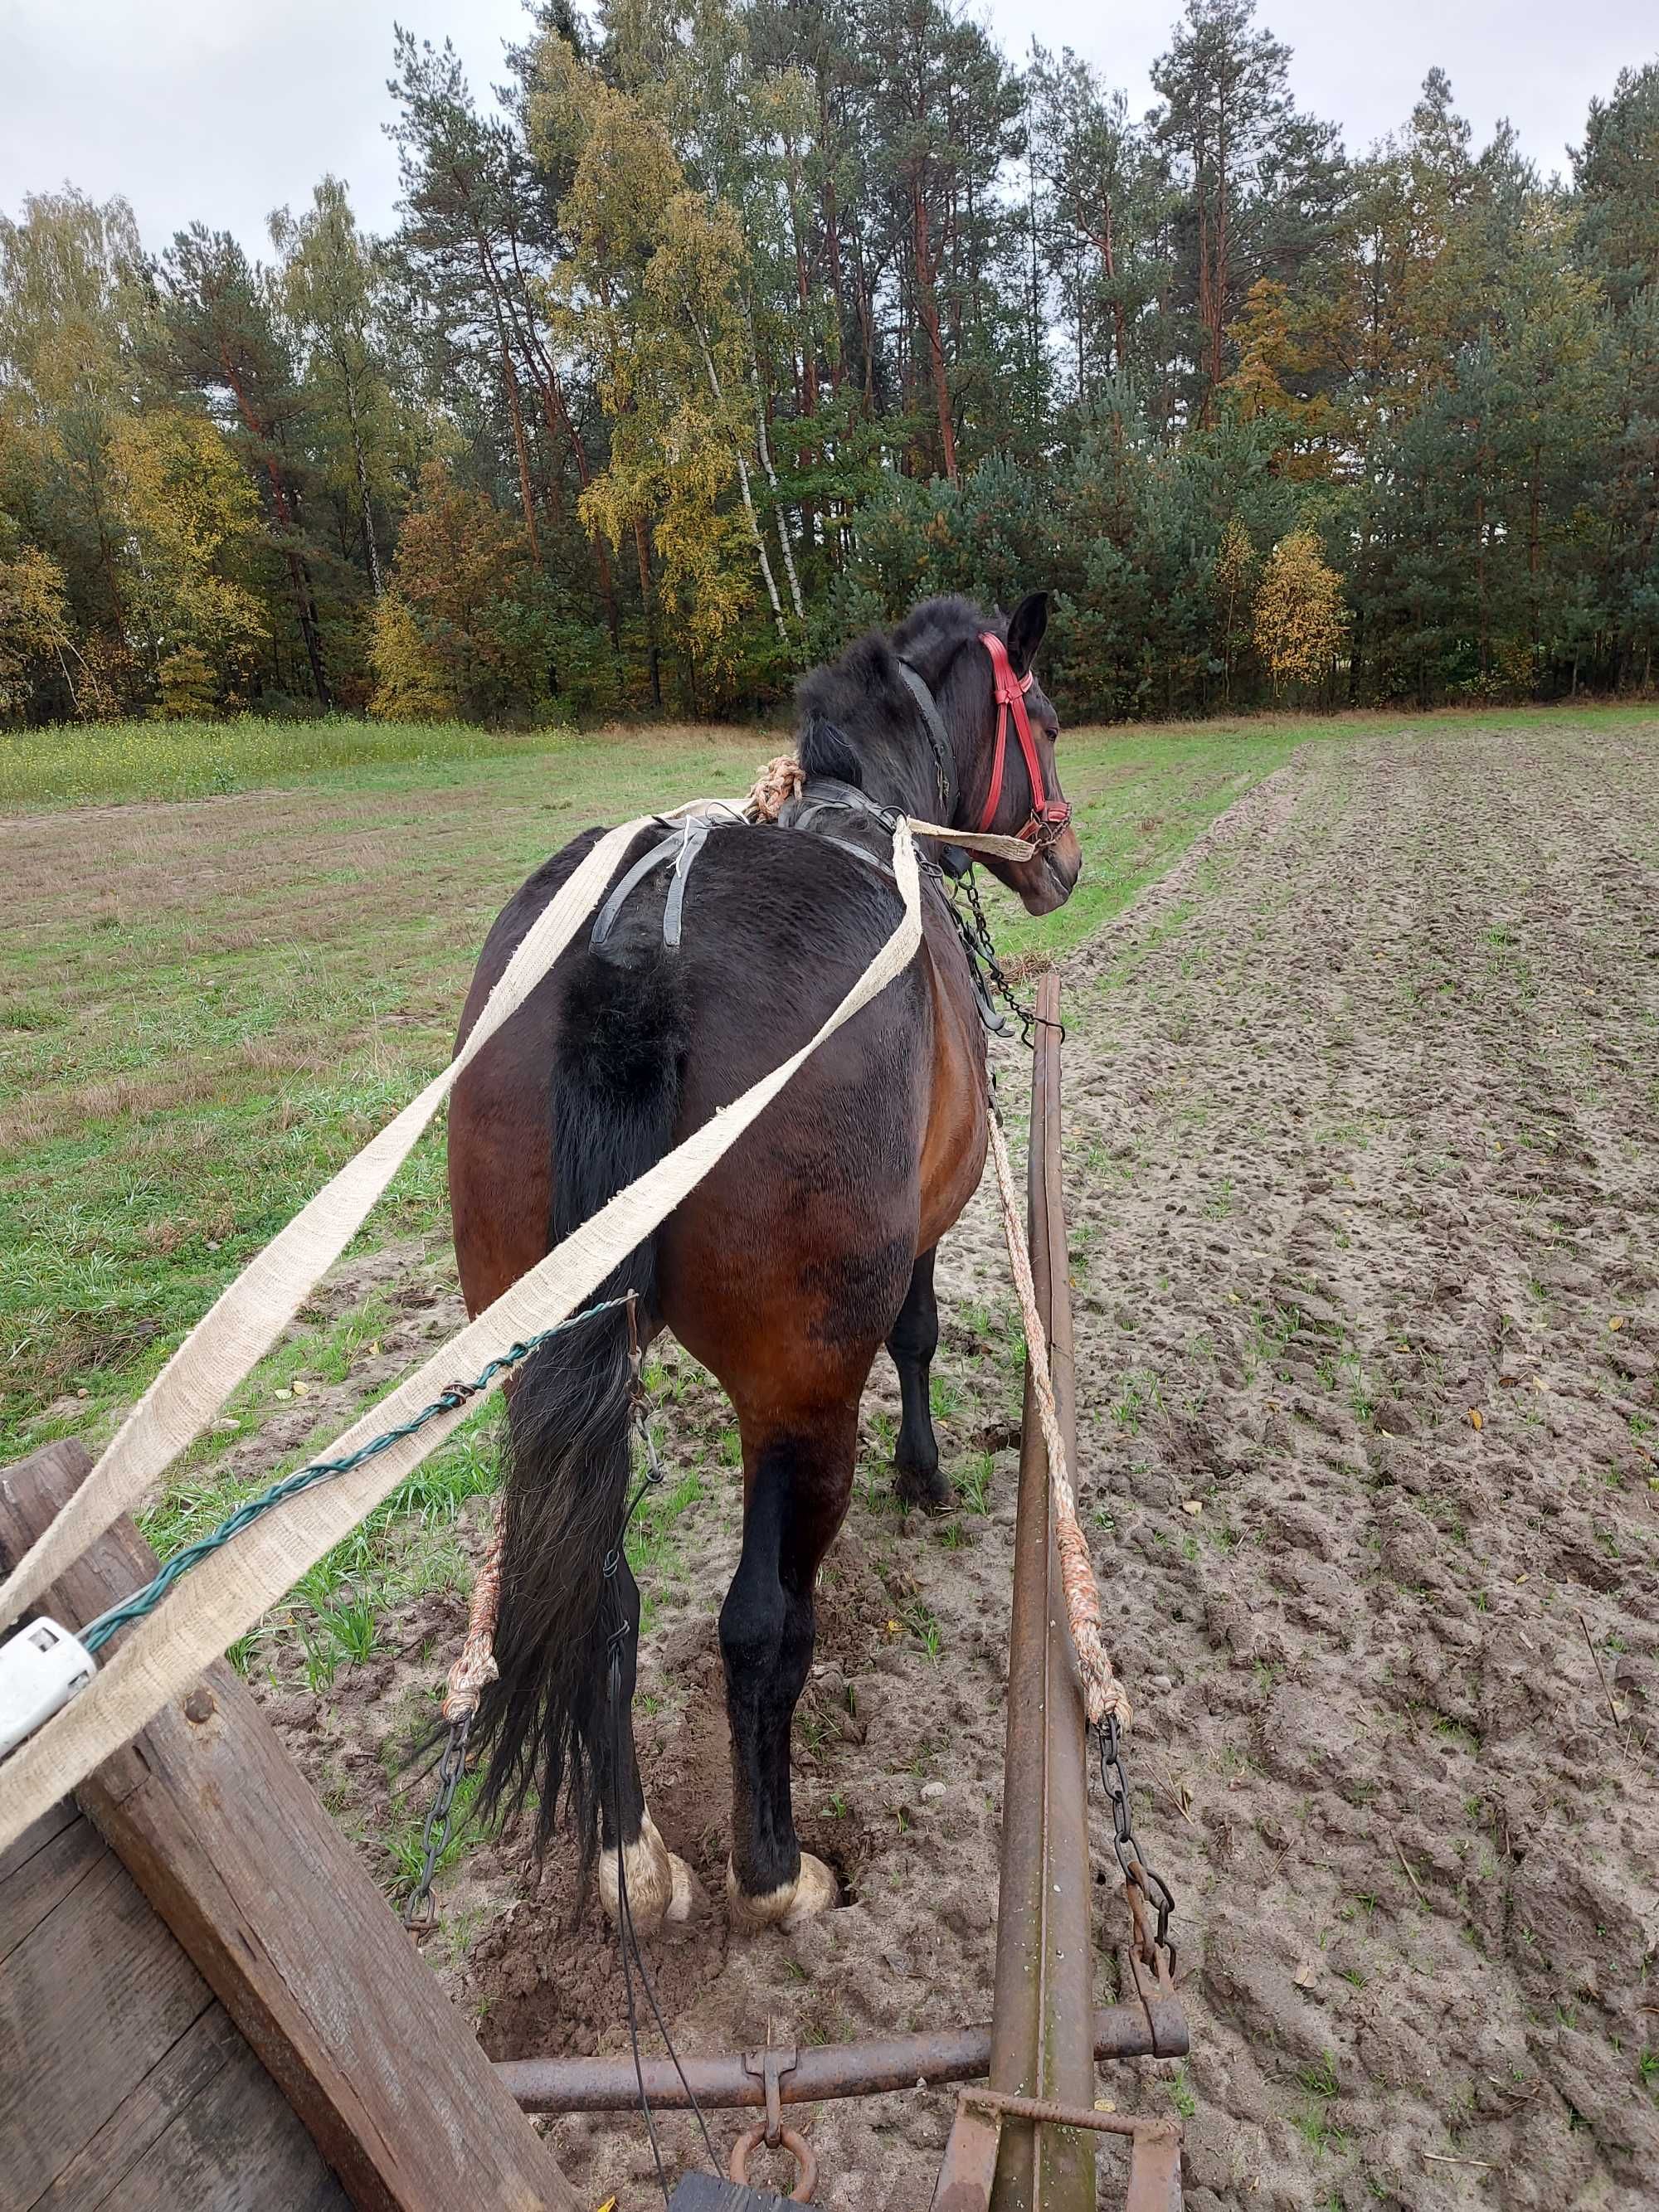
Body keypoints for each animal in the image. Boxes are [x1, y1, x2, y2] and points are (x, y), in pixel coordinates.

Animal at [449, 588, 1083, 1937]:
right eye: (1046, 720)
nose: (1064, 860)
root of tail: (639, 948)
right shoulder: (923, 1228)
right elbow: (919, 1332)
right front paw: (925, 1472)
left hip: (540, 1350)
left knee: (604, 1597)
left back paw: (631, 1858)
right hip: (800, 1393)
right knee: (761, 1627)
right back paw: (775, 1868)